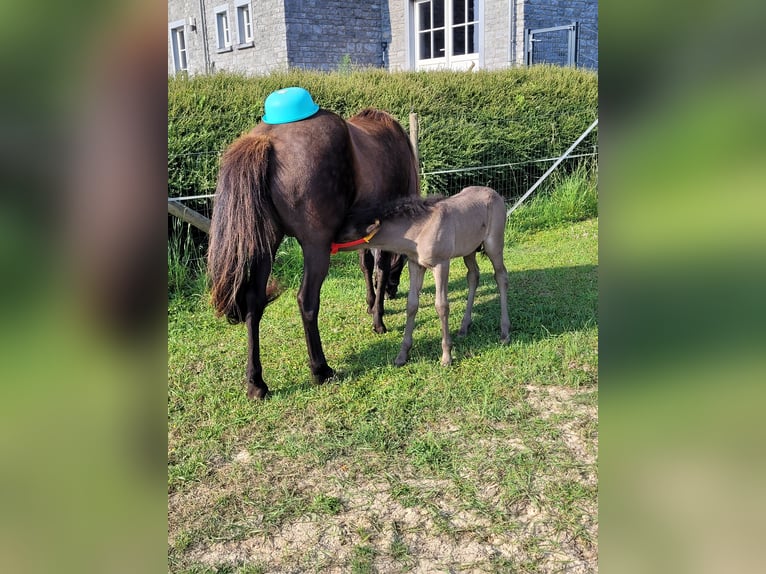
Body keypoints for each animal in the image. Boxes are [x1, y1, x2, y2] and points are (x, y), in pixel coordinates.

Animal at [208, 110, 420, 402]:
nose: (392, 292)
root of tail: (267, 138)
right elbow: (380, 268)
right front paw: (378, 319)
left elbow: (366, 265)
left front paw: (370, 304)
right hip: (315, 247)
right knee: (306, 300)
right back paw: (321, 369)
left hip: (266, 247)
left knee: (254, 302)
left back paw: (256, 383)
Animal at [334, 189, 510, 368]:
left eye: (343, 231)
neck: (420, 231)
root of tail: (495, 194)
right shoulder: (415, 265)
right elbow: (412, 304)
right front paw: (402, 355)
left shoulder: (441, 264)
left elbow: (442, 306)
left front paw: (446, 356)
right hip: (469, 249)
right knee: (473, 275)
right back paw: (464, 327)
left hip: (493, 245)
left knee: (501, 276)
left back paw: (505, 332)